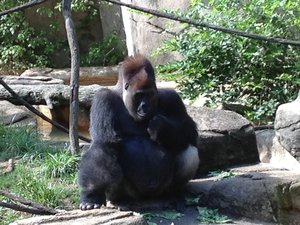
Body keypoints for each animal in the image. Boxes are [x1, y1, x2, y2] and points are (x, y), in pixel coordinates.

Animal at [78, 55, 199, 210]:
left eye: (150, 94)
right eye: (139, 95)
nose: (145, 106)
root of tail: (148, 199)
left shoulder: (172, 98)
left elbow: (189, 130)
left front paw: (161, 126)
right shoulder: (103, 99)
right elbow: (103, 145)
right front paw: (91, 195)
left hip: (162, 189)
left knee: (189, 149)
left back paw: (174, 193)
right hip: (132, 194)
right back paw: (122, 200)